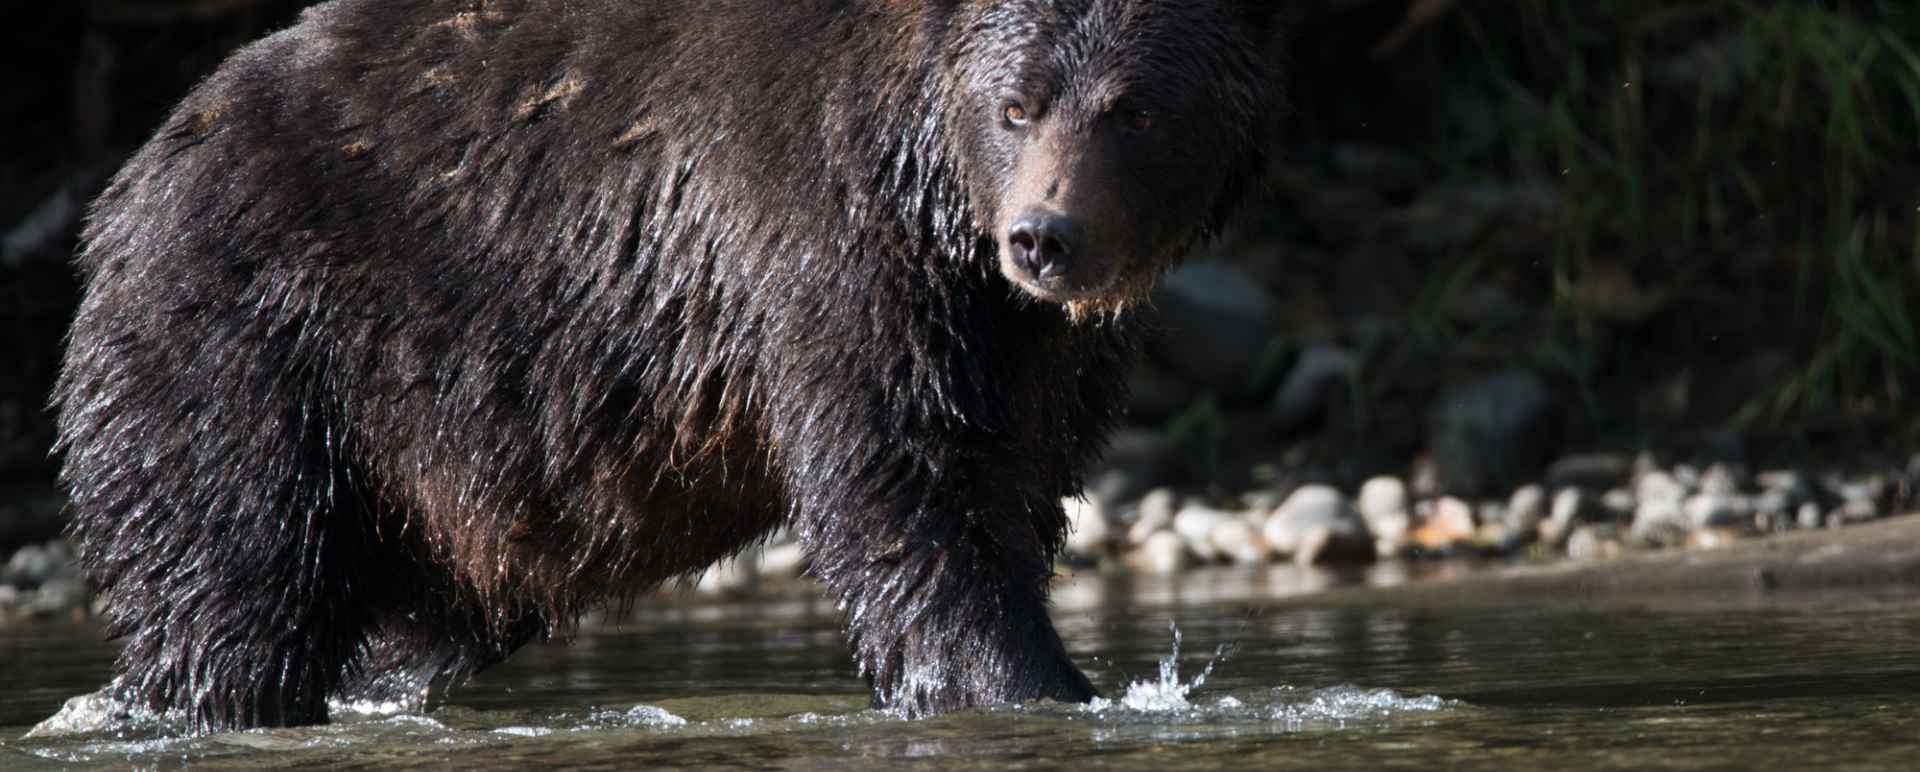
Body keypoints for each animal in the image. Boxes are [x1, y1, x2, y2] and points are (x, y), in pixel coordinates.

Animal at [54, 0, 1283, 732]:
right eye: (1017, 104)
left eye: (1133, 109)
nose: (1044, 236)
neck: (933, 197)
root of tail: (127, 184)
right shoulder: (826, 244)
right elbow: (911, 489)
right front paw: (1033, 686)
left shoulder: (1038, 349)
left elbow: (1015, 485)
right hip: (248, 339)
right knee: (233, 579)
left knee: (422, 614)